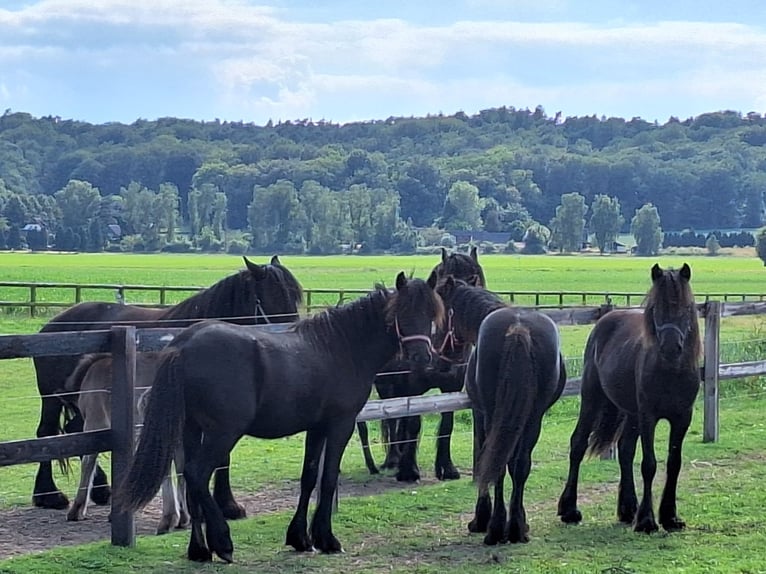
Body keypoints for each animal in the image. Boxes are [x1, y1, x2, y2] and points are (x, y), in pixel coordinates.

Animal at [33, 256, 304, 516]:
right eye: (273, 299)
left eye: (294, 298)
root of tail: (53, 324)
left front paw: (226, 504)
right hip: (52, 399)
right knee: (47, 435)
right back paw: (48, 496)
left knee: (79, 434)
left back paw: (100, 490)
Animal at [117, 274, 448, 564]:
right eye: (402, 311)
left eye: (431, 312)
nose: (421, 358)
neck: (340, 348)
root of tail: (183, 345)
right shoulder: (340, 424)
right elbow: (328, 478)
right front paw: (327, 539)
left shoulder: (316, 428)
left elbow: (309, 477)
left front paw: (300, 538)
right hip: (222, 433)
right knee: (198, 475)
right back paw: (222, 543)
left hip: (192, 429)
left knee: (190, 480)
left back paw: (199, 549)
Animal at [356, 245, 484, 484]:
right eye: (445, 279)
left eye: (475, 278)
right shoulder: (413, 387)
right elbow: (413, 423)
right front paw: (408, 470)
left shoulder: (451, 388)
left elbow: (446, 424)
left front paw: (447, 468)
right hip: (387, 386)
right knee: (393, 420)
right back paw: (393, 459)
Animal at [436, 276, 568, 548]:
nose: (440, 354)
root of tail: (518, 329)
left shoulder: (479, 413)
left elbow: (482, 458)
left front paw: (480, 519)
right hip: (534, 418)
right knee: (520, 464)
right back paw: (516, 528)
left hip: (495, 415)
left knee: (497, 463)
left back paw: (495, 530)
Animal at [560, 266, 704, 536]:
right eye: (655, 309)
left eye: (687, 308)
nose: (671, 348)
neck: (670, 370)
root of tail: (605, 320)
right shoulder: (649, 417)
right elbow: (649, 464)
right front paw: (647, 521)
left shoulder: (682, 418)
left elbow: (674, 463)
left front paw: (670, 517)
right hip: (592, 400)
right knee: (578, 444)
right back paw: (569, 510)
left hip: (631, 413)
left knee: (625, 450)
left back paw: (628, 510)